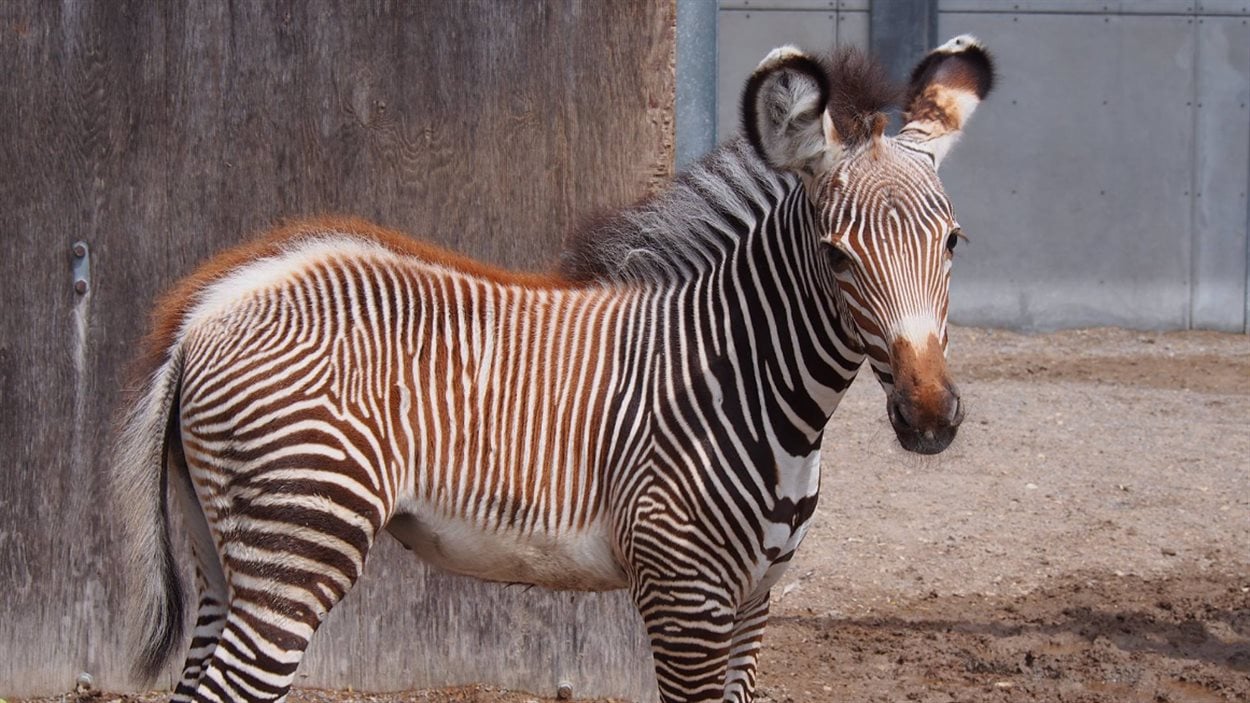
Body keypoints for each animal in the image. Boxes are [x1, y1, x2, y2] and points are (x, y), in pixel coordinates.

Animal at [115, 36, 995, 700]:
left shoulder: (755, 599)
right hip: (299, 543)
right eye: (836, 256)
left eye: (953, 241)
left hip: (228, 552)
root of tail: (208, 303)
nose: (929, 416)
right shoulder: (685, 597)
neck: (742, 381)